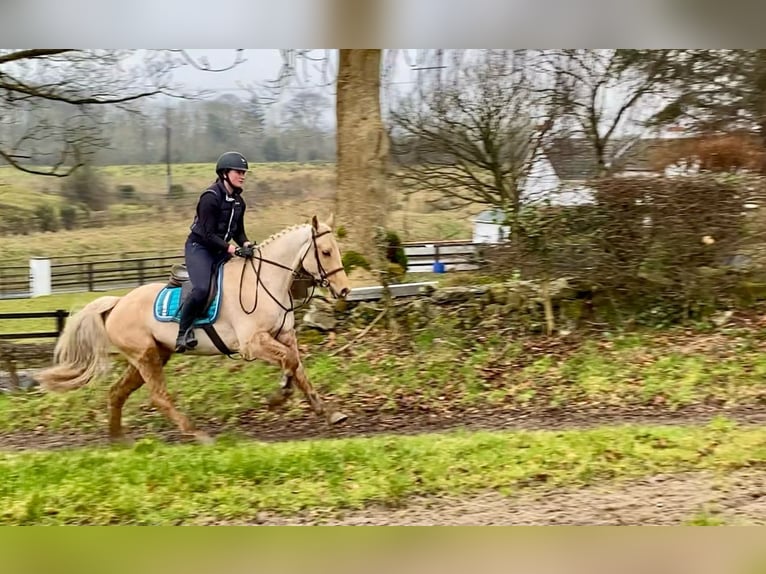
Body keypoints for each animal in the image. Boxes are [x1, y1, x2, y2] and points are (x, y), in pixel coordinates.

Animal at [33, 216, 352, 446]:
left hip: (153, 355)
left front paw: (328, 412)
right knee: (159, 397)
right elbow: (290, 362)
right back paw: (197, 434)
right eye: (325, 252)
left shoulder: (285, 336)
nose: (344, 290)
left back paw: (117, 441)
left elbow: (298, 368)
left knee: (116, 393)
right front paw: (279, 396)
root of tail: (117, 303)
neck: (264, 282)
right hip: (146, 356)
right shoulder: (252, 344)